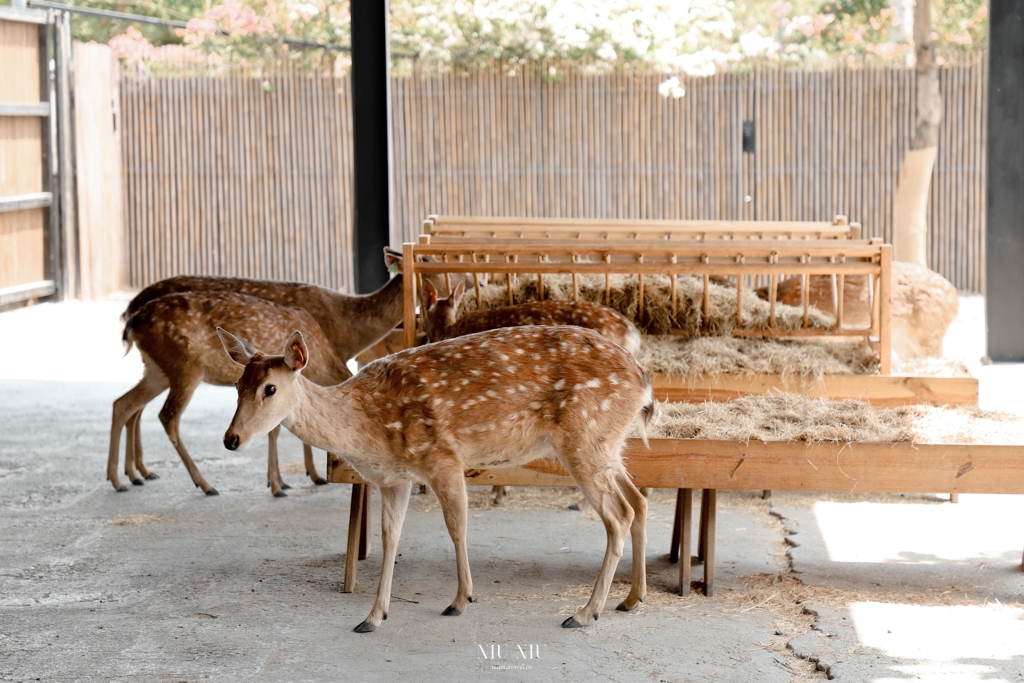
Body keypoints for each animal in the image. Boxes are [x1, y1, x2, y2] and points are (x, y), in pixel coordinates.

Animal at [110, 290, 354, 493]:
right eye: (237, 385)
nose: (231, 440)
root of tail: (131, 324)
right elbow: (277, 429)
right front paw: (278, 485)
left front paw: (302, 477)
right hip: (185, 368)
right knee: (166, 415)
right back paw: (204, 484)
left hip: (156, 371)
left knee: (124, 403)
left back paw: (122, 478)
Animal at [219, 323, 651, 634]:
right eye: (238, 385)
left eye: (270, 388)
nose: (230, 439)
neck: (368, 428)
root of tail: (644, 383)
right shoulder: (394, 479)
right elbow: (390, 538)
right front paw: (373, 616)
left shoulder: (443, 457)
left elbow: (457, 527)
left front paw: (460, 601)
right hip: (609, 444)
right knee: (639, 501)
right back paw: (631, 599)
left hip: (584, 437)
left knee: (619, 515)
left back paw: (584, 613)